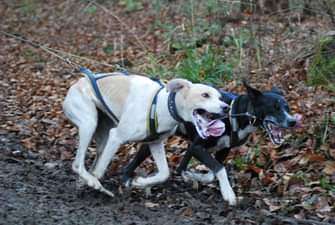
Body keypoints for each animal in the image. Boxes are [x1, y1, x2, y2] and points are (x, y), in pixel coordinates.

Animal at [63, 68, 228, 195]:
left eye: (220, 97)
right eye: (205, 95)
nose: (226, 107)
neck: (160, 105)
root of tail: (78, 83)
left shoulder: (155, 143)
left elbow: (164, 174)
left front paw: (141, 182)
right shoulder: (116, 137)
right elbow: (100, 170)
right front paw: (97, 185)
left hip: (103, 135)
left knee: (90, 163)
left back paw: (84, 181)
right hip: (89, 124)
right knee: (78, 164)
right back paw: (94, 183)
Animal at [122, 82, 300, 206]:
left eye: (287, 107)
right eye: (274, 107)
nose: (292, 121)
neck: (234, 115)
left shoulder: (221, 150)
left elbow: (212, 173)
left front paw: (197, 176)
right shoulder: (197, 147)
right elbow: (220, 169)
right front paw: (228, 193)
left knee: (179, 167)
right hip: (151, 142)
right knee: (130, 166)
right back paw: (132, 182)